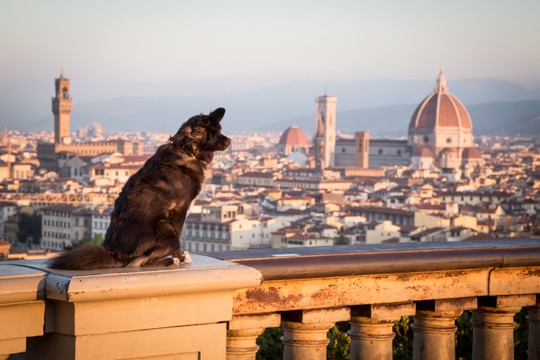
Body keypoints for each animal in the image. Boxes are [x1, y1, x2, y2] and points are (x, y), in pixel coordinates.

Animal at [48, 107, 230, 270]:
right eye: (217, 131)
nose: (230, 141)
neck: (186, 150)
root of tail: (116, 255)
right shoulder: (180, 208)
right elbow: (179, 235)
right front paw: (181, 257)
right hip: (164, 226)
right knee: (142, 261)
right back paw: (169, 261)